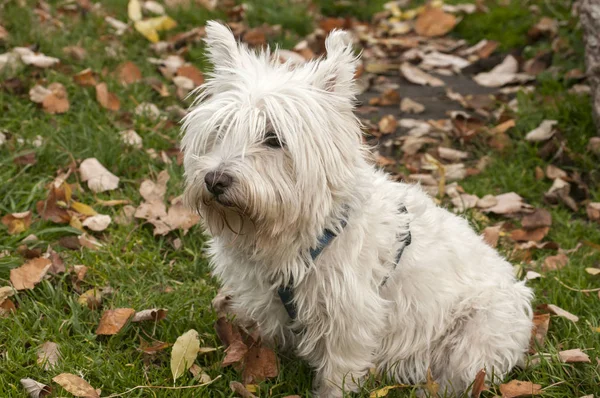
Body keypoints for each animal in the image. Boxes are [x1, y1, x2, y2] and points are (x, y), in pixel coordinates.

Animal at [180, 22, 532, 398]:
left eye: (274, 139)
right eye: (220, 131)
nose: (215, 181)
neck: (302, 232)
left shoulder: (350, 316)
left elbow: (339, 372)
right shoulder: (267, 301)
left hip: (477, 331)